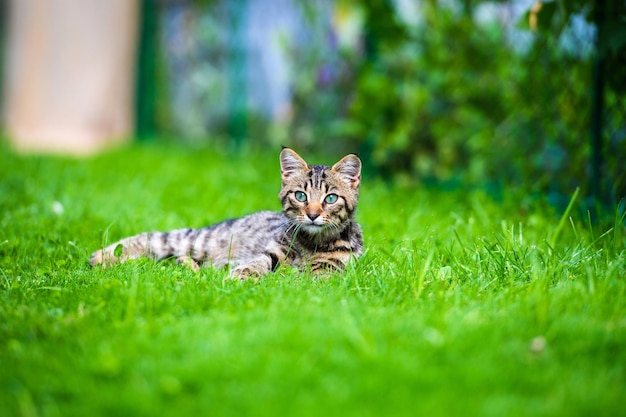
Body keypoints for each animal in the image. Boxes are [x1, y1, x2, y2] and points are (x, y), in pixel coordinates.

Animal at [88, 148, 360, 278]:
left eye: (330, 198)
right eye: (301, 196)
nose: (312, 214)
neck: (311, 243)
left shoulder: (331, 269)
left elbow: (309, 278)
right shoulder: (272, 252)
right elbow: (258, 263)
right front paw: (242, 275)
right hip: (199, 241)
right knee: (161, 241)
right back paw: (103, 257)